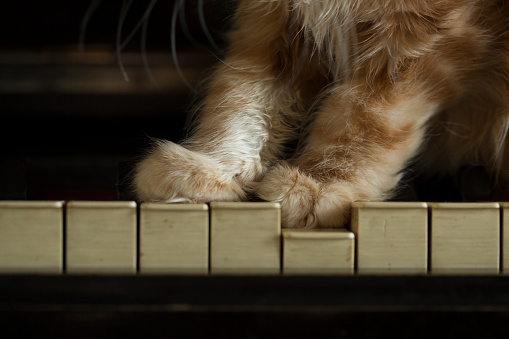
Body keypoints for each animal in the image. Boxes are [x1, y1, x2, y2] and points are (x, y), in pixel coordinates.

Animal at [133, 0, 508, 228]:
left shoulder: (422, 38)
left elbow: (365, 117)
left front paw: (321, 186)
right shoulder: (274, 30)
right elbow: (241, 96)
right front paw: (211, 167)